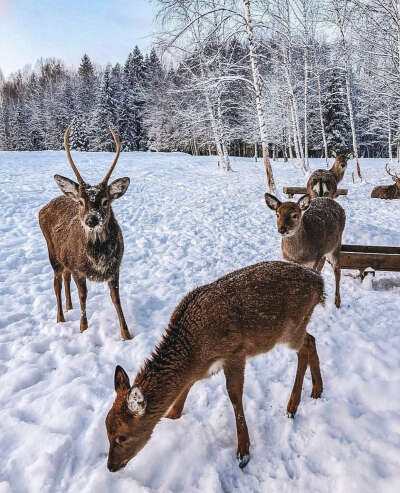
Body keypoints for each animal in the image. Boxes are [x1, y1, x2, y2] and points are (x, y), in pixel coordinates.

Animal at [38, 122, 131, 338]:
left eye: (105, 201)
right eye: (81, 202)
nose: (91, 219)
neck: (98, 261)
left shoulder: (115, 268)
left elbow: (116, 300)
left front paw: (126, 334)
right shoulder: (78, 269)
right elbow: (83, 297)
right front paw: (83, 328)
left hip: (64, 259)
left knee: (64, 278)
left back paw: (68, 307)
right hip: (53, 254)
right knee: (56, 283)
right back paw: (60, 318)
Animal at [104, 260, 324, 470]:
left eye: (121, 436)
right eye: (106, 431)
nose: (111, 467)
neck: (194, 350)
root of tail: (319, 282)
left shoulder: (235, 352)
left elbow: (234, 396)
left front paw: (243, 453)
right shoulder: (201, 368)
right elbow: (185, 389)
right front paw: (171, 417)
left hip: (291, 328)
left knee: (305, 347)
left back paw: (292, 407)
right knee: (312, 340)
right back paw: (316, 391)